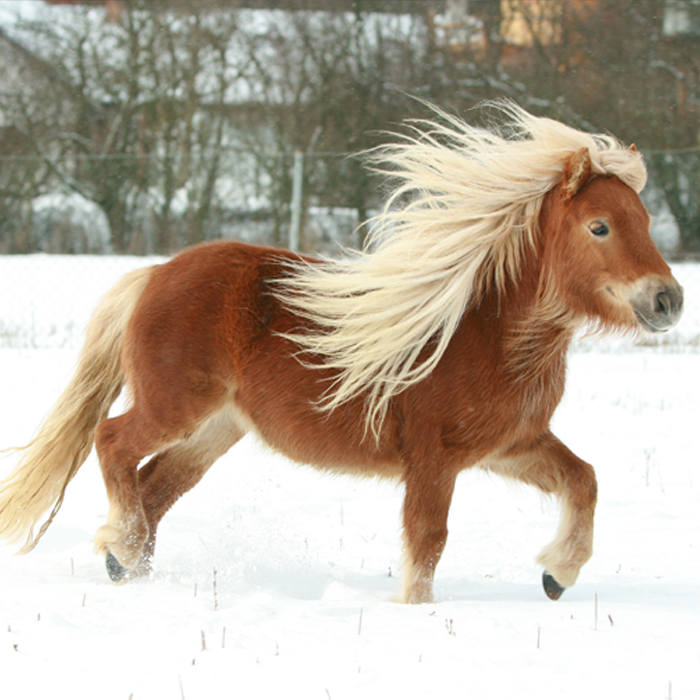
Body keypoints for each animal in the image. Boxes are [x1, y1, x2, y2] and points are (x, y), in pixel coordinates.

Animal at [0, 103, 683, 604]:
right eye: (599, 226)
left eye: (645, 222)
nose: (669, 299)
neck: (485, 334)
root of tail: (156, 273)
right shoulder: (433, 459)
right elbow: (427, 541)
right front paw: (416, 610)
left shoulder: (510, 445)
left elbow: (584, 479)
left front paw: (557, 575)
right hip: (176, 408)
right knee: (113, 442)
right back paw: (120, 545)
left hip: (216, 430)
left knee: (153, 485)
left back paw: (128, 564)